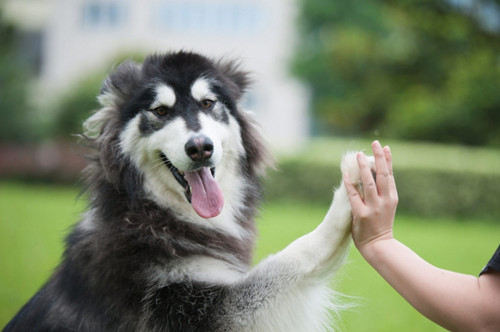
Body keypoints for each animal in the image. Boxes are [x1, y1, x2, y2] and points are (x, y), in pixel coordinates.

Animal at [2, 52, 372, 332]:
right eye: (160, 111)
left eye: (208, 103)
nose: (200, 148)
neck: (153, 215)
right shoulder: (191, 310)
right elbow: (290, 259)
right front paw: (353, 186)